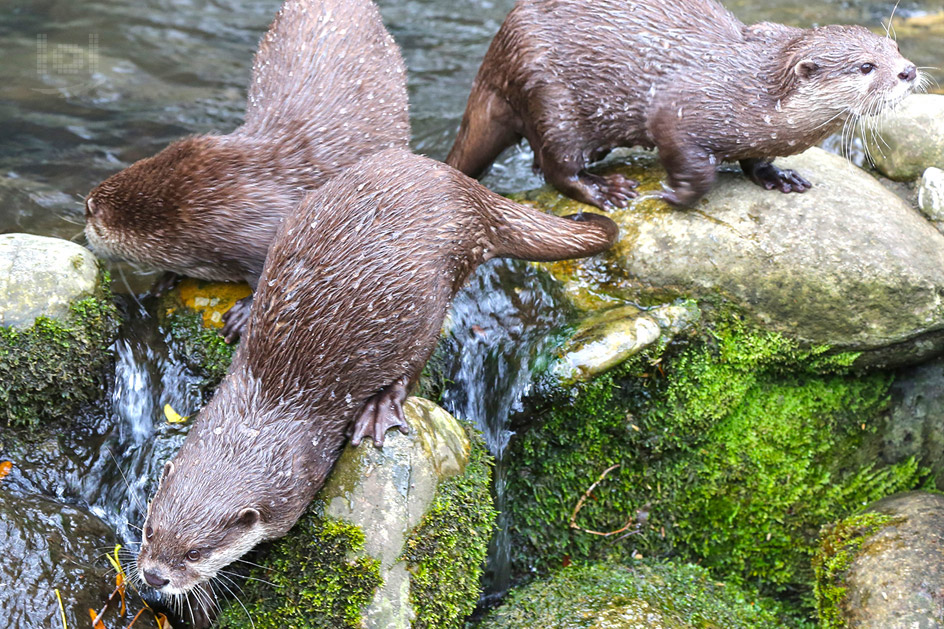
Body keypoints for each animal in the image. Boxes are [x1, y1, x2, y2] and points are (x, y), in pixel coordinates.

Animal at [135, 148, 620, 612]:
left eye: (196, 552)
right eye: (149, 530)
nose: (155, 577)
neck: (259, 419)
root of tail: (467, 193)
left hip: (438, 289)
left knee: (415, 361)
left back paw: (380, 410)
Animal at [446, 0, 920, 209]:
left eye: (894, 47)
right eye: (866, 66)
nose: (910, 71)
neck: (751, 91)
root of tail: (498, 51)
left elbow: (756, 159)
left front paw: (779, 176)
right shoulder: (680, 107)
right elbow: (694, 166)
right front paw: (674, 194)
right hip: (549, 95)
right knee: (558, 167)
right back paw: (605, 191)